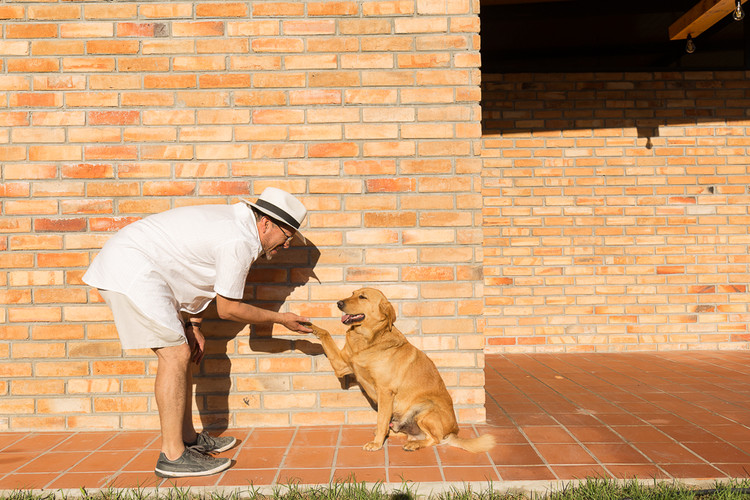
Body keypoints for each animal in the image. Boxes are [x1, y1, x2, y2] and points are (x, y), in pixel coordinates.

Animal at [308, 286, 496, 454]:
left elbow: (381, 419)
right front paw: (310, 325)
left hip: (425, 410)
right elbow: (326, 334)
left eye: (362, 297)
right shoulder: (341, 365)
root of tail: (452, 432)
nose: (338, 303)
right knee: (403, 432)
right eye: (352, 293)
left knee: (434, 439)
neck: (367, 340)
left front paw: (376, 444)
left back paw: (412, 444)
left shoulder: (385, 392)